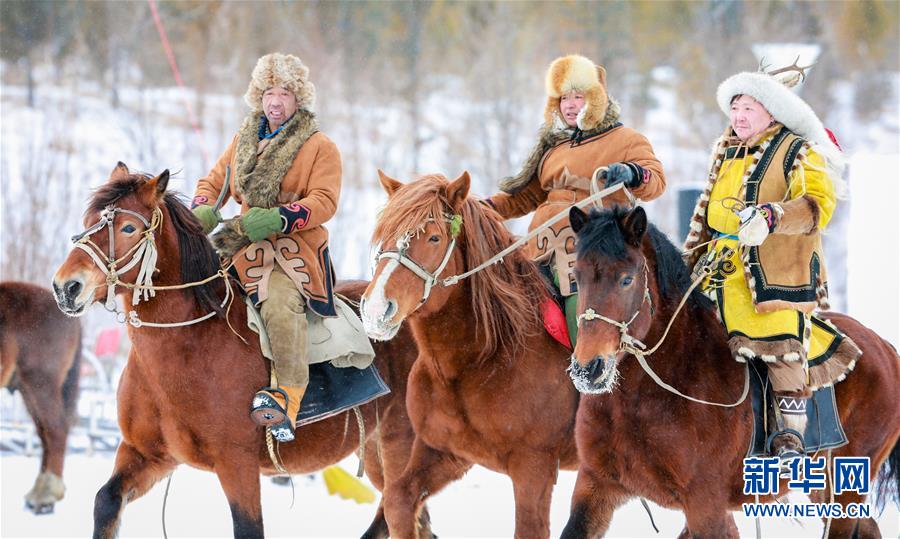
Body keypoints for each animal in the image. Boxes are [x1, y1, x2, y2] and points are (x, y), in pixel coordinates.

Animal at [51, 165, 434, 539]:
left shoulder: (237, 464)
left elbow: (248, 528)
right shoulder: (148, 454)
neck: (189, 347)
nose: (66, 287)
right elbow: (106, 502)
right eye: (89, 221)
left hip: (399, 448)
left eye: (128, 227)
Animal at [358, 173, 576, 539]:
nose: (376, 309)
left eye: (433, 237)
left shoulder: (535, 467)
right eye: (384, 234)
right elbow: (398, 501)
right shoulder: (445, 451)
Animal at [564, 205, 900, 536]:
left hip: (845, 487)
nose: (589, 368)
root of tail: (884, 347)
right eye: (577, 277)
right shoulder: (595, 485)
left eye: (626, 279)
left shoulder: (705, 504)